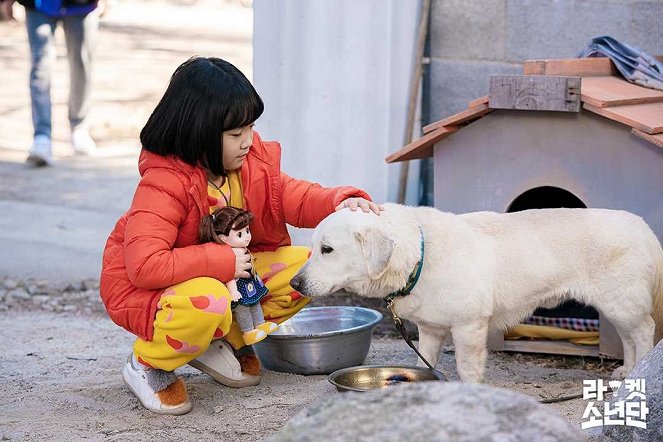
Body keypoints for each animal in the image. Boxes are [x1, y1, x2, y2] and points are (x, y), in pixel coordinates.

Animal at [294, 205, 663, 382]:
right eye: (314, 247)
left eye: (327, 249)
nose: (296, 284)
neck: (420, 253)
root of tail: (642, 226)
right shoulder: (430, 330)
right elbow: (423, 362)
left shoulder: (469, 327)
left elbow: (467, 367)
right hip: (618, 307)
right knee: (629, 338)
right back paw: (628, 371)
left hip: (621, 303)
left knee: (643, 331)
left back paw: (637, 375)